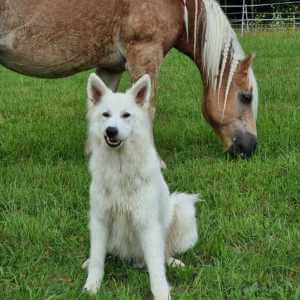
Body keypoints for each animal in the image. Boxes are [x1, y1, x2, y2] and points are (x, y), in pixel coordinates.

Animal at [0, 0, 258, 158]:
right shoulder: (145, 53)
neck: (178, 5)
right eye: (246, 97)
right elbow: (147, 109)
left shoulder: (110, 67)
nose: (250, 148)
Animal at [82, 72, 199, 300]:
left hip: (182, 211)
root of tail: (134, 259)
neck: (120, 168)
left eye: (126, 115)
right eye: (105, 115)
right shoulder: (100, 219)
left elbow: (156, 269)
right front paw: (91, 287)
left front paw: (162, 293)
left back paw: (174, 262)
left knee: (164, 254)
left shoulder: (148, 225)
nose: (111, 131)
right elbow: (98, 259)